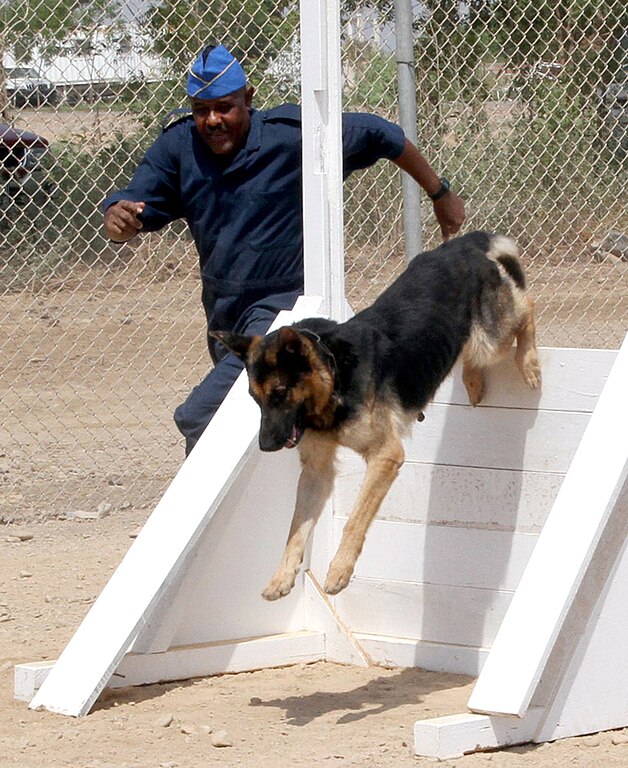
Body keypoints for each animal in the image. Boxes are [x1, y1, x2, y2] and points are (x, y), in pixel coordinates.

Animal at [215, 231, 540, 604]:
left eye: (280, 393)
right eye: (255, 399)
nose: (266, 446)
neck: (336, 377)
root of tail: (460, 245)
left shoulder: (386, 456)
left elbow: (355, 519)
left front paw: (340, 570)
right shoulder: (316, 472)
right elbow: (296, 528)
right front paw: (282, 576)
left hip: (492, 338)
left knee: (527, 308)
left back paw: (529, 362)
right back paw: (473, 381)